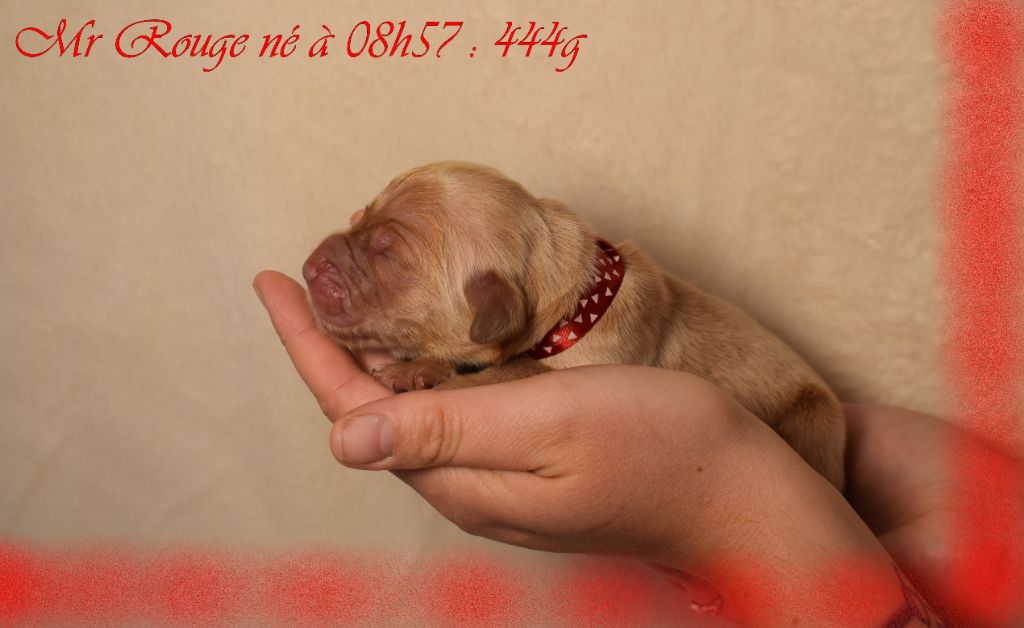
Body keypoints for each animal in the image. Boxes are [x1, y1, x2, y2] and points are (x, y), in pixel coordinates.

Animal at [303, 162, 846, 489]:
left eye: (387, 254)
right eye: (363, 217)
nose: (310, 266)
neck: (577, 299)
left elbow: (511, 370)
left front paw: (420, 375)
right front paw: (421, 367)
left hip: (816, 419)